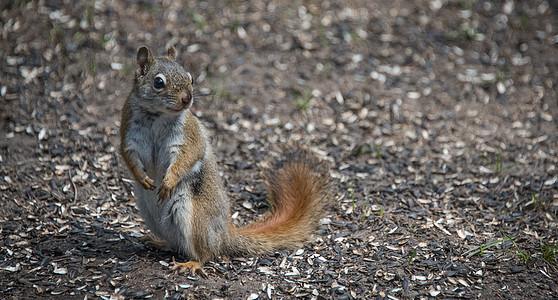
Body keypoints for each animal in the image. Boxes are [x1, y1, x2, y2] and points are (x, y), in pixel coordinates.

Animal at [120, 43, 330, 276]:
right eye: (159, 82)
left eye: (191, 78)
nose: (187, 99)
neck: (158, 116)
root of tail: (223, 235)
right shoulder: (129, 133)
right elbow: (127, 155)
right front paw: (141, 177)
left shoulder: (189, 135)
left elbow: (189, 155)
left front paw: (168, 182)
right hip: (149, 213)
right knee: (176, 244)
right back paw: (159, 242)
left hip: (194, 218)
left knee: (205, 253)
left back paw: (193, 263)